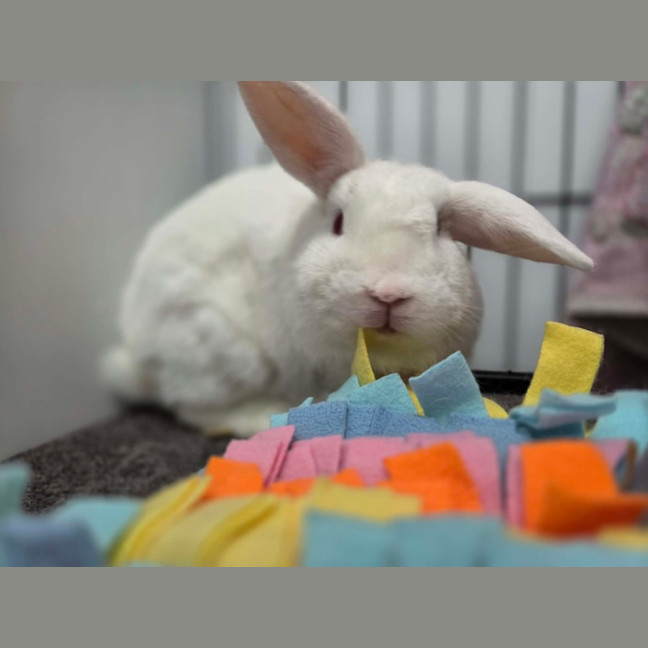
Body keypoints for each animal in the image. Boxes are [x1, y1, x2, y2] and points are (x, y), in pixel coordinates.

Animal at [102, 81, 594, 437]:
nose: (388, 294)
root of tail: (134, 357)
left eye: (439, 228)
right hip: (220, 350)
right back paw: (259, 416)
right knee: (195, 407)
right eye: (338, 222)